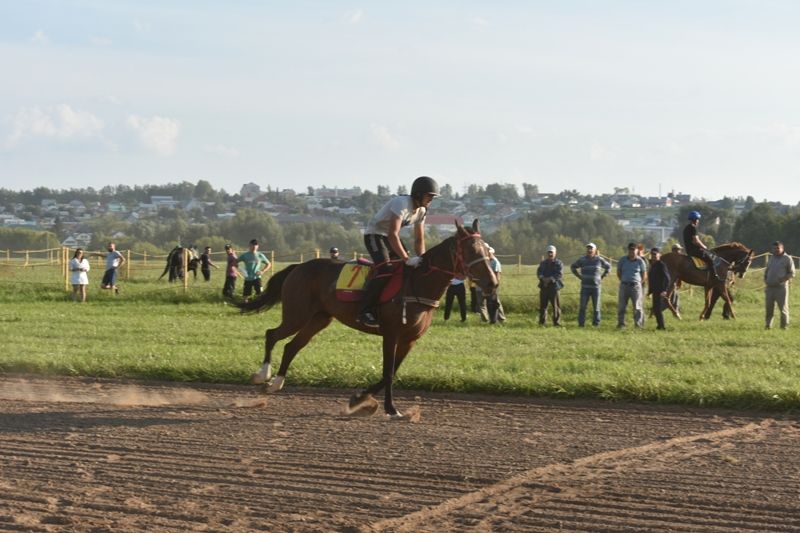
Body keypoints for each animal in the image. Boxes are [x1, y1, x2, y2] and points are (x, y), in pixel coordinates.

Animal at [238, 218, 500, 418]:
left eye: (488, 251)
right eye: (472, 251)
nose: (492, 283)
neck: (419, 284)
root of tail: (298, 267)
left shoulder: (409, 340)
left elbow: (392, 372)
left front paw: (359, 399)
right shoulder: (391, 334)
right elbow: (388, 372)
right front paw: (390, 408)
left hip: (319, 319)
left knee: (292, 346)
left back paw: (277, 382)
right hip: (297, 314)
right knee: (272, 334)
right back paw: (263, 374)